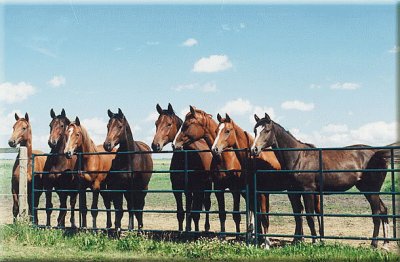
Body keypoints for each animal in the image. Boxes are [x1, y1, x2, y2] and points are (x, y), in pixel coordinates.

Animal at [151, 103, 212, 232]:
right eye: (156, 123)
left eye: (169, 124)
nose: (155, 145)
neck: (186, 157)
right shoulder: (177, 189)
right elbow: (181, 213)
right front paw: (181, 231)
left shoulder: (198, 188)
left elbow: (196, 213)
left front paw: (196, 233)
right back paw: (188, 228)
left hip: (207, 186)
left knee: (207, 204)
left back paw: (206, 227)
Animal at [173, 105, 245, 236]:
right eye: (216, 131)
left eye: (187, 124)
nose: (175, 144)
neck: (225, 158)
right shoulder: (218, 188)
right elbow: (222, 213)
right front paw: (222, 235)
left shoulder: (235, 189)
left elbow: (236, 215)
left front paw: (237, 236)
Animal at [212, 112, 322, 248]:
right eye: (216, 131)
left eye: (227, 131)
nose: (214, 149)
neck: (253, 161)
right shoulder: (254, 194)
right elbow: (258, 216)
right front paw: (258, 240)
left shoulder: (263, 193)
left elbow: (264, 217)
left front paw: (266, 243)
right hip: (293, 192)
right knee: (299, 211)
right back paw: (297, 239)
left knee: (314, 211)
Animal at [252, 112, 396, 248]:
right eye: (255, 130)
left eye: (267, 130)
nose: (254, 149)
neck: (298, 157)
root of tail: (378, 153)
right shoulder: (293, 192)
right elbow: (297, 215)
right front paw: (296, 241)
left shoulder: (308, 191)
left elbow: (310, 216)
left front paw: (315, 241)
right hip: (368, 190)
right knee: (383, 210)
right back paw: (385, 244)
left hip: (372, 191)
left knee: (376, 214)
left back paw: (374, 244)